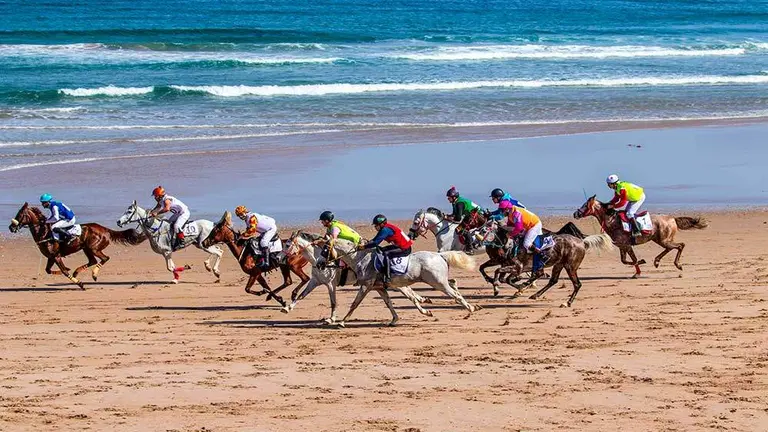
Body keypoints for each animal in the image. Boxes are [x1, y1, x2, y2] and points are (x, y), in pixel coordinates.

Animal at [9, 203, 145, 288]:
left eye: (20, 214)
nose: (11, 227)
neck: (44, 232)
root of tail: (105, 229)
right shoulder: (51, 257)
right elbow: (48, 270)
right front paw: (68, 272)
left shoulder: (56, 256)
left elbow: (63, 271)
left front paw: (80, 283)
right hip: (86, 249)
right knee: (92, 261)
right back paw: (76, 272)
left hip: (93, 248)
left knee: (104, 258)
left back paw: (93, 274)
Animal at [281, 231, 433, 324]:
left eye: (287, 245)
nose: (279, 258)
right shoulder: (315, 281)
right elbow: (301, 295)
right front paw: (287, 308)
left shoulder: (330, 284)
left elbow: (333, 302)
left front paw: (331, 319)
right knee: (408, 293)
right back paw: (423, 303)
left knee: (409, 293)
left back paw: (423, 304)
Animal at [329, 238, 479, 327]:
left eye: (326, 249)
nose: (323, 263)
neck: (361, 258)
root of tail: (440, 255)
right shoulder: (379, 288)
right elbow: (389, 303)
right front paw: (394, 319)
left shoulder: (366, 286)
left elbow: (355, 303)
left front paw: (342, 322)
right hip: (439, 280)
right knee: (453, 283)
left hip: (438, 283)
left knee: (455, 295)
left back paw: (470, 309)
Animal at [574, 195, 707, 277]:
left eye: (585, 205)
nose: (575, 213)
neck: (612, 221)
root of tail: (672, 218)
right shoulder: (622, 246)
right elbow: (624, 260)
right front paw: (639, 268)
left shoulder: (627, 245)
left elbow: (632, 260)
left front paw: (639, 269)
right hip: (660, 239)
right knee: (671, 248)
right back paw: (657, 261)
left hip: (663, 239)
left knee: (680, 245)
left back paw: (677, 264)